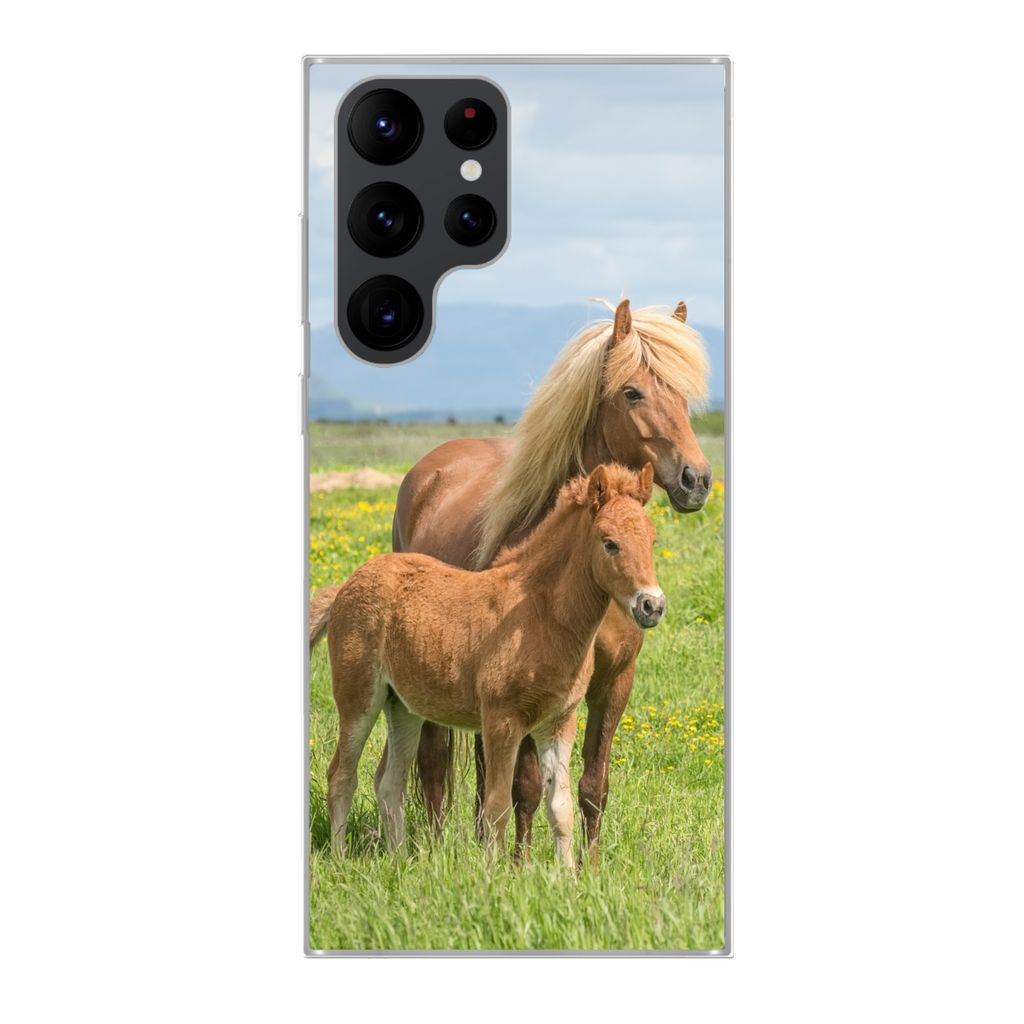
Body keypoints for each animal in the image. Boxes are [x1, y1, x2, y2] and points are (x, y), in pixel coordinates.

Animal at [311, 464, 664, 864]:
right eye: (609, 543)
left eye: (652, 541)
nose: (652, 605)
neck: (539, 614)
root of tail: (345, 587)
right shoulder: (501, 720)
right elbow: (496, 806)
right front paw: (493, 873)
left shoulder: (559, 721)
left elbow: (560, 808)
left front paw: (568, 874)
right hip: (358, 698)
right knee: (342, 775)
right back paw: (340, 858)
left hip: (402, 706)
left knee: (389, 783)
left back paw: (400, 861)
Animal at [386, 297, 712, 864]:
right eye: (632, 391)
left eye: (684, 395)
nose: (697, 480)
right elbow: (528, 787)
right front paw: (520, 867)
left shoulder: (613, 680)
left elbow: (592, 785)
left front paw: (591, 867)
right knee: (433, 760)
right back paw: (435, 845)